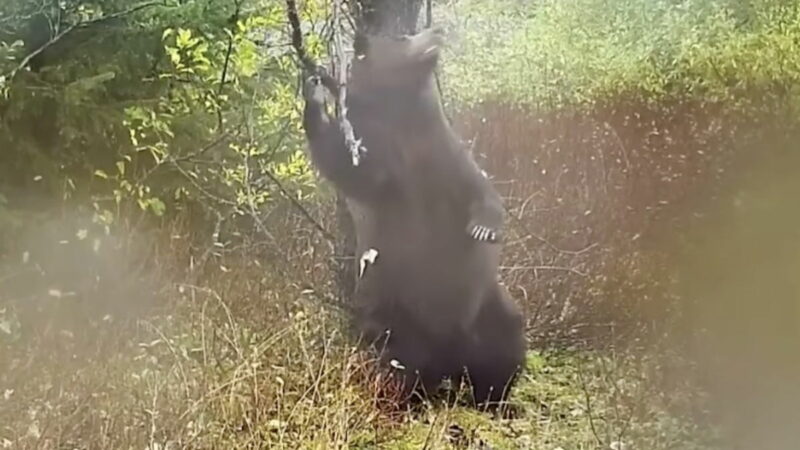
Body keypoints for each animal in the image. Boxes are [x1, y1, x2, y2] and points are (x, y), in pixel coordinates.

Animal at [302, 25, 524, 404]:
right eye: (403, 37)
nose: (436, 30)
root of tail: (452, 356)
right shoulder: (386, 164)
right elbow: (347, 168)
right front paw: (314, 92)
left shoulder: (444, 158)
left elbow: (482, 190)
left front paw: (485, 229)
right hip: (394, 309)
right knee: (397, 357)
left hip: (488, 303)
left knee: (506, 343)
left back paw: (494, 398)